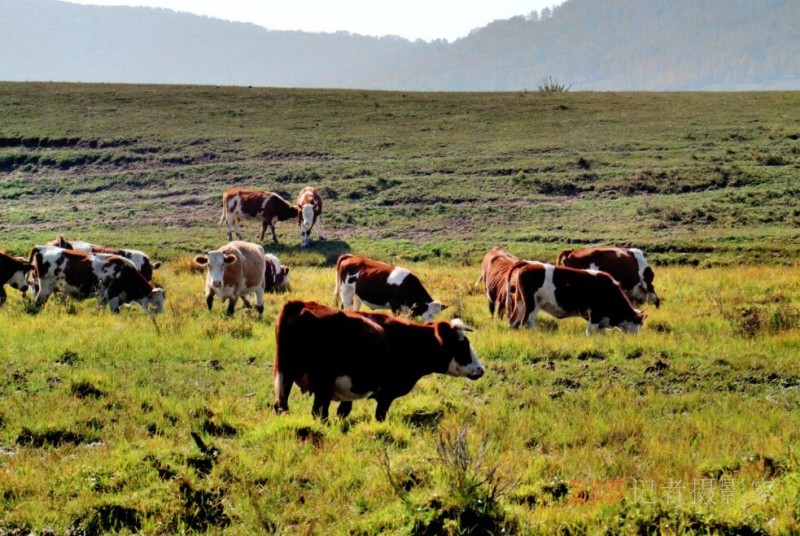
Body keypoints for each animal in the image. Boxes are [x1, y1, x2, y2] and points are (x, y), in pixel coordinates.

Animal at [28, 245, 164, 312]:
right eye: (157, 301)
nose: (161, 313)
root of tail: (42, 248)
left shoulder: (103, 298)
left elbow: (99, 310)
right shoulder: (112, 297)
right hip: (45, 289)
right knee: (38, 303)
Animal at [272, 300, 484, 420]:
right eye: (462, 345)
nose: (480, 369)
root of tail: (299, 305)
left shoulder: (348, 394)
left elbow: (343, 413)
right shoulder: (386, 395)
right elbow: (379, 416)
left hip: (285, 378)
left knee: (281, 406)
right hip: (321, 385)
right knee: (319, 414)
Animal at [510, 264, 648, 336]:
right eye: (640, 323)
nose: (637, 336)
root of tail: (527, 266)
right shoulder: (596, 314)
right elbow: (590, 331)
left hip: (520, 303)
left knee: (513, 321)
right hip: (532, 305)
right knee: (526, 322)